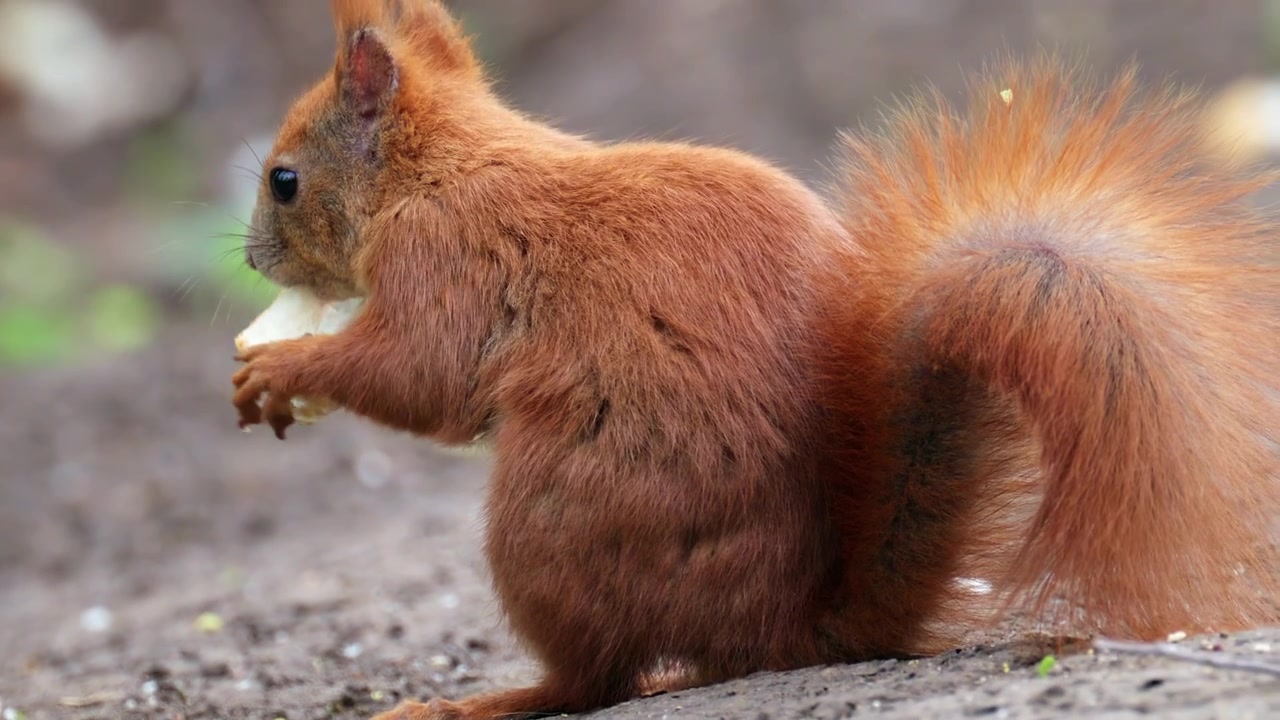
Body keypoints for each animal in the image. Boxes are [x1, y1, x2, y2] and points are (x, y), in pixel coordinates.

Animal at [231, 1, 1280, 718]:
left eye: (284, 180)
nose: (251, 260)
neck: (435, 171)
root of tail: (794, 624)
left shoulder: (444, 262)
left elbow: (420, 375)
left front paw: (279, 370)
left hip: (546, 523)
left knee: (594, 678)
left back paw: (481, 700)